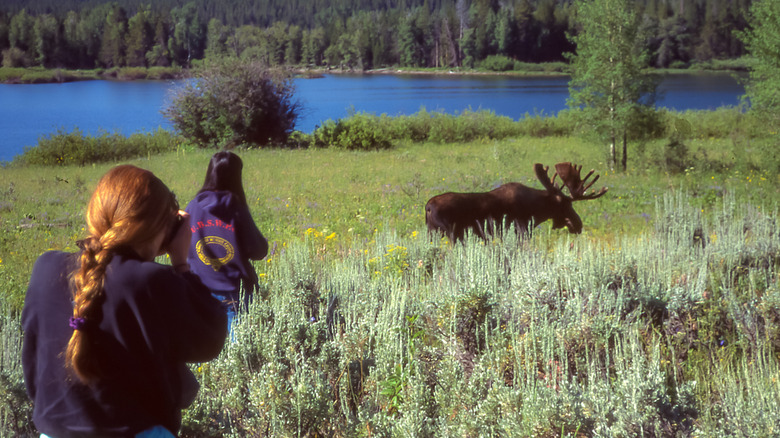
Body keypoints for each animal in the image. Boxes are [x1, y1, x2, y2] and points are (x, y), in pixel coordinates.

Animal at [425, 162, 608, 242]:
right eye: (564, 204)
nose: (578, 225)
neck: (536, 210)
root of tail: (427, 207)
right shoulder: (521, 230)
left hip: (432, 234)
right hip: (450, 234)